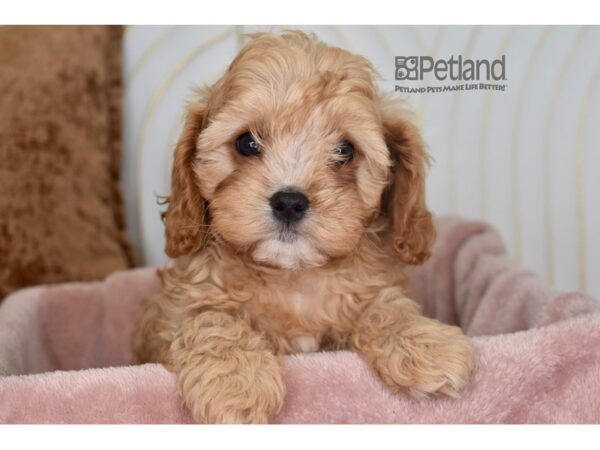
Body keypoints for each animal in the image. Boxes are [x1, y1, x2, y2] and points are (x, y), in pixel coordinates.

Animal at [131, 30, 474, 422]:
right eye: (246, 142)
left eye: (345, 150)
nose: (289, 202)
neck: (292, 276)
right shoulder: (170, 316)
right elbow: (209, 318)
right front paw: (236, 383)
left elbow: (386, 306)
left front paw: (426, 345)